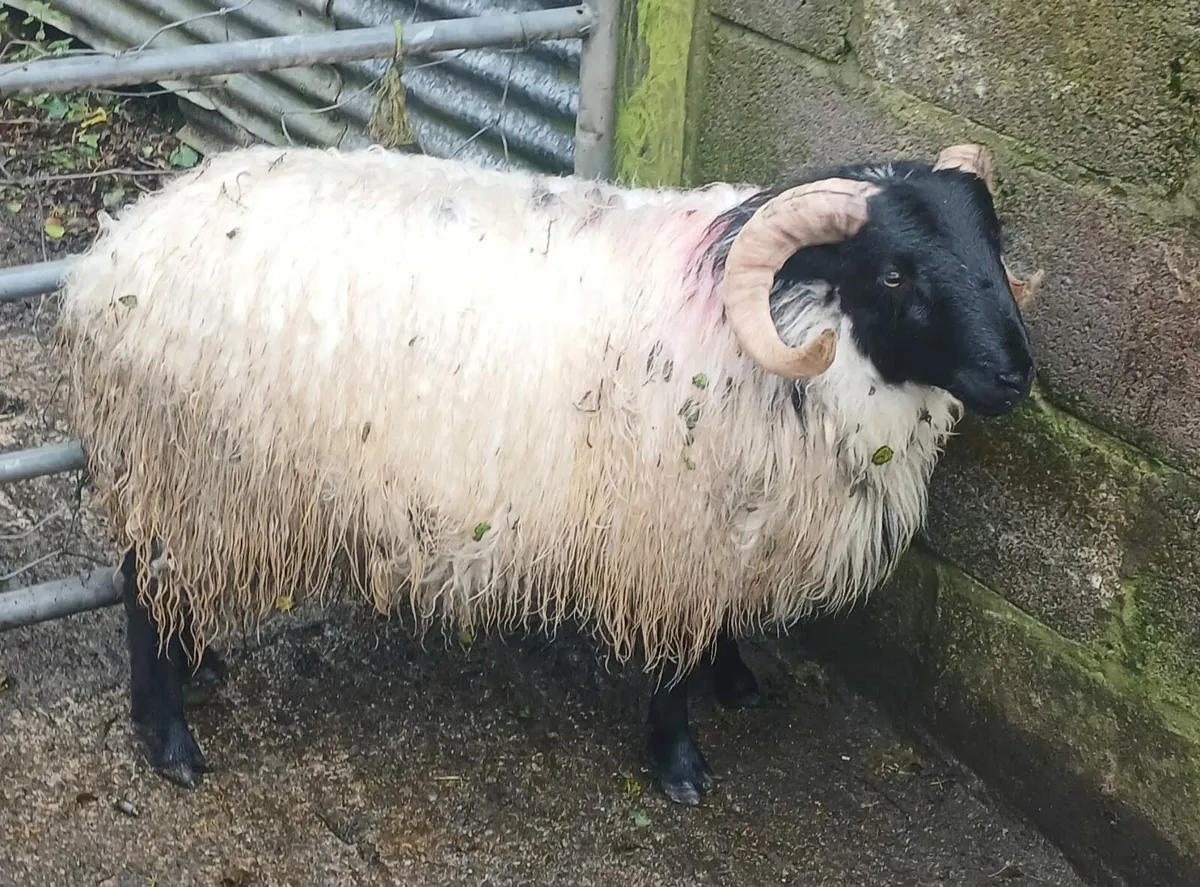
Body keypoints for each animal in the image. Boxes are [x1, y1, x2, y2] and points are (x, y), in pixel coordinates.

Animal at [54, 141, 1041, 805]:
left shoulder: (727, 521)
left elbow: (723, 619)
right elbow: (675, 661)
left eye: (990, 245)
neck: (765, 316)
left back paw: (201, 659)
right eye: (892, 274)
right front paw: (680, 763)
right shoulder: (670, 533)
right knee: (141, 589)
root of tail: (111, 254)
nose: (1015, 375)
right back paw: (170, 736)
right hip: (183, 462)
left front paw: (737, 680)